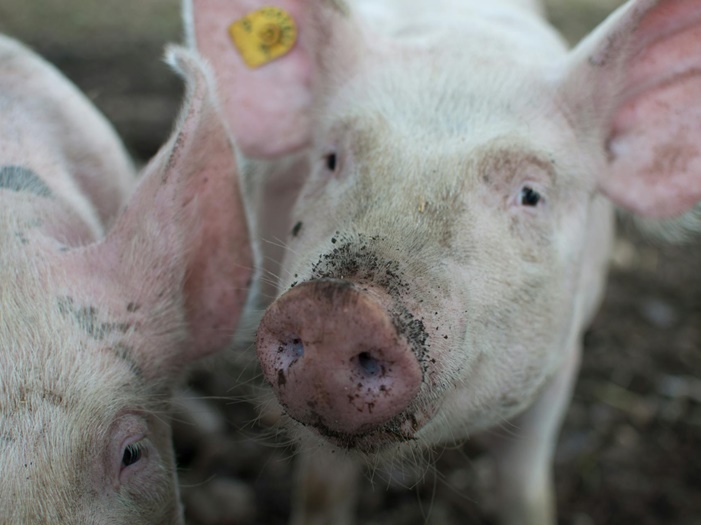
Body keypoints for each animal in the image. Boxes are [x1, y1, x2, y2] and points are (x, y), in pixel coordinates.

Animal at [182, 0, 700, 520]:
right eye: (330, 159)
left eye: (531, 195)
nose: (338, 307)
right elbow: (322, 489)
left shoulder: (562, 358)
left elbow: (523, 486)